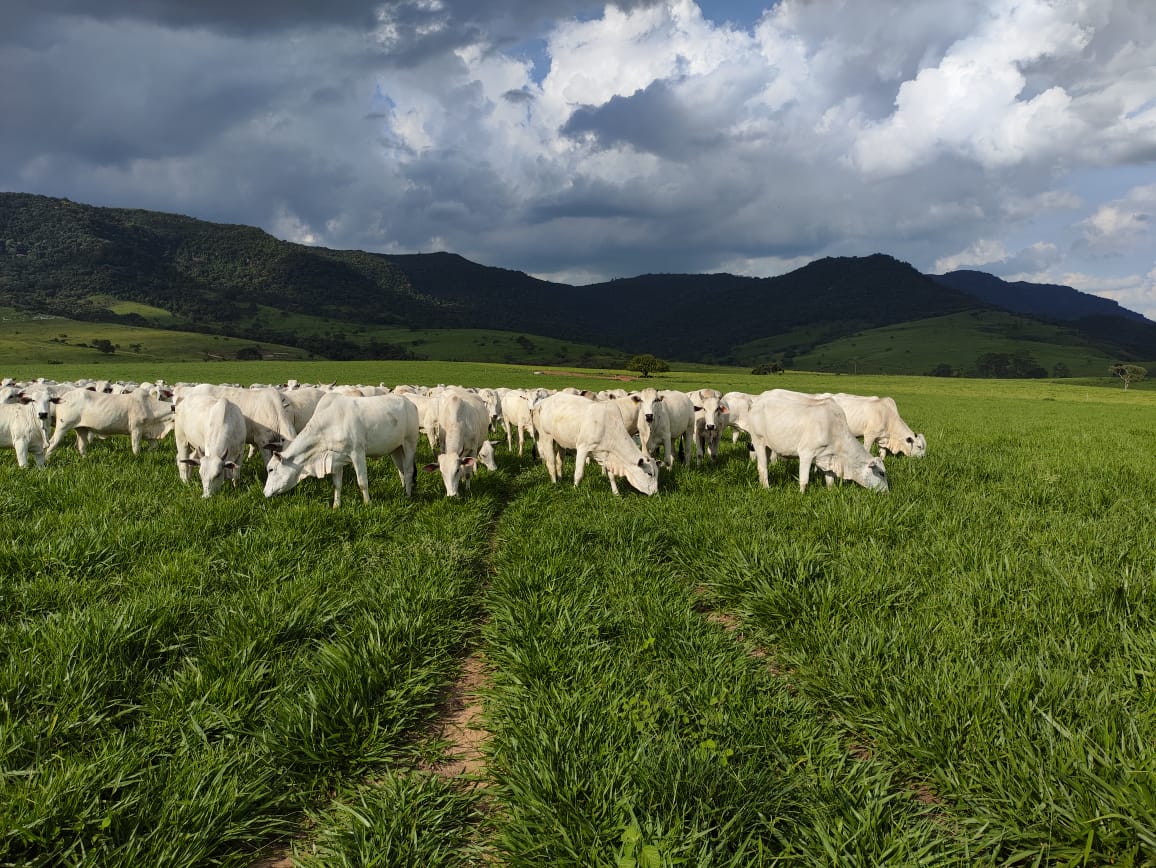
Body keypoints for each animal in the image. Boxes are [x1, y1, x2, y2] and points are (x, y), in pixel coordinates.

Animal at [45, 386, 173, 455]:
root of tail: (63, 397)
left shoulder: (147, 431)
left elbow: (154, 445)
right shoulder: (136, 429)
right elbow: (136, 448)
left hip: (81, 428)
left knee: (81, 446)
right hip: (63, 426)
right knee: (52, 444)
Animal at [264, 395, 418, 508]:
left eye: (271, 469)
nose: (265, 492)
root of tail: (410, 403)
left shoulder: (357, 453)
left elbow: (362, 482)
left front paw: (367, 504)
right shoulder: (334, 458)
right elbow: (337, 484)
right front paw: (336, 506)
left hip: (410, 442)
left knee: (408, 470)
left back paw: (408, 495)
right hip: (396, 449)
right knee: (401, 470)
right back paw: (404, 489)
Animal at [531, 392, 661, 494]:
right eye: (649, 473)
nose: (655, 492)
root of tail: (540, 403)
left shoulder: (607, 453)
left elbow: (611, 476)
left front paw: (616, 493)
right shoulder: (582, 448)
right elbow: (579, 473)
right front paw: (575, 489)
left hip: (560, 441)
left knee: (559, 461)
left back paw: (560, 477)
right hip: (546, 436)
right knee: (551, 462)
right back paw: (554, 482)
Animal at [744, 392, 887, 492]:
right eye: (881, 473)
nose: (887, 493)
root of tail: (756, 402)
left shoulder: (829, 457)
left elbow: (830, 479)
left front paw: (831, 491)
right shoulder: (806, 454)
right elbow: (804, 479)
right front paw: (802, 494)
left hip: (768, 445)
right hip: (758, 441)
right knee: (762, 467)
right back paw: (767, 487)